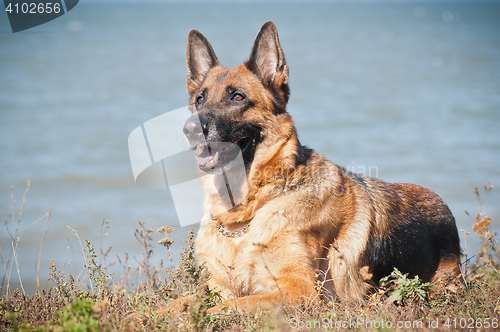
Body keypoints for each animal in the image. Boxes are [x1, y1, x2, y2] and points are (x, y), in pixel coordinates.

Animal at [153, 22, 464, 318]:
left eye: (238, 97)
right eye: (200, 100)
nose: (190, 129)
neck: (245, 216)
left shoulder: (299, 292)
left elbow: (227, 307)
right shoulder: (216, 287)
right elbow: (176, 304)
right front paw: (148, 315)